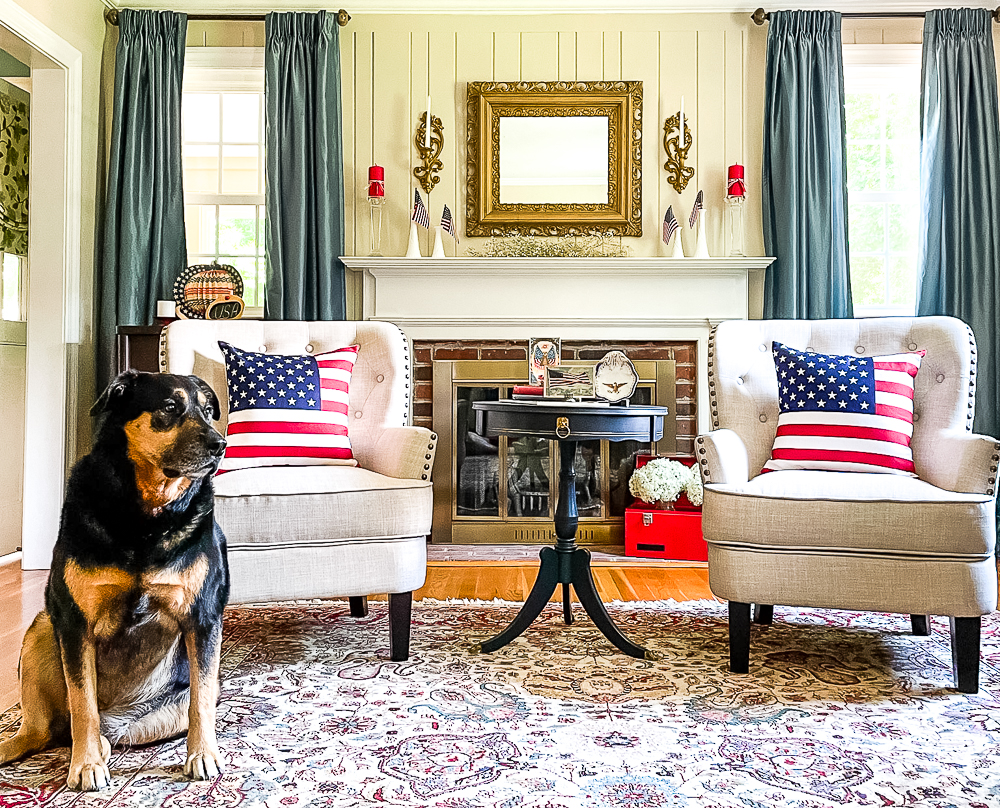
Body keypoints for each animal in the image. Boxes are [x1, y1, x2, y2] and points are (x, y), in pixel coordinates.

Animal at [0, 372, 229, 788]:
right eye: (170, 407)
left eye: (207, 410)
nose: (220, 445)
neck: (147, 514)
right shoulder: (74, 622)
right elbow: (83, 702)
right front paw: (86, 764)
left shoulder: (203, 618)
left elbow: (201, 701)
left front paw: (203, 756)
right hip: (41, 629)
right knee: (43, 731)